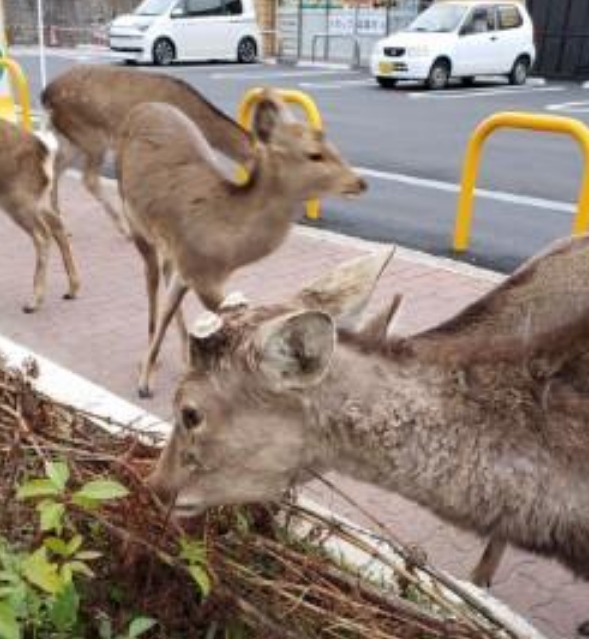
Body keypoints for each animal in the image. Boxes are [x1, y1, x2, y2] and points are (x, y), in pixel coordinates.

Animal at [0, 119, 79, 313]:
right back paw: (72, 289)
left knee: (42, 234)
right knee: (57, 225)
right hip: (38, 198)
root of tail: (46, 151)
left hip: (18, 198)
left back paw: (34, 302)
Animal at [41, 64, 254, 237]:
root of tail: (46, 94)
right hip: (90, 135)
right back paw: (123, 229)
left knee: (56, 166)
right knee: (89, 179)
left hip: (73, 138)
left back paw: (60, 224)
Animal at [116, 90, 367, 398]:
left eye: (331, 144)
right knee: (150, 279)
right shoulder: (201, 273)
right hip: (133, 217)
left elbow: (173, 308)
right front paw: (145, 383)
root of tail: (143, 107)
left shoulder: (191, 267)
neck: (228, 246)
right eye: (314, 154)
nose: (360, 182)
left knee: (164, 282)